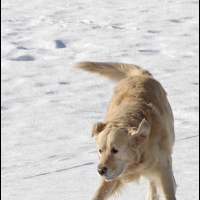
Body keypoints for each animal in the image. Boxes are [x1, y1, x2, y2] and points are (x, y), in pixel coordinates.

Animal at [73, 61, 177, 199]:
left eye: (115, 150)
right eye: (100, 150)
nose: (100, 170)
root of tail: (141, 75)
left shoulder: (163, 168)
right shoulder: (110, 178)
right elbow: (99, 193)